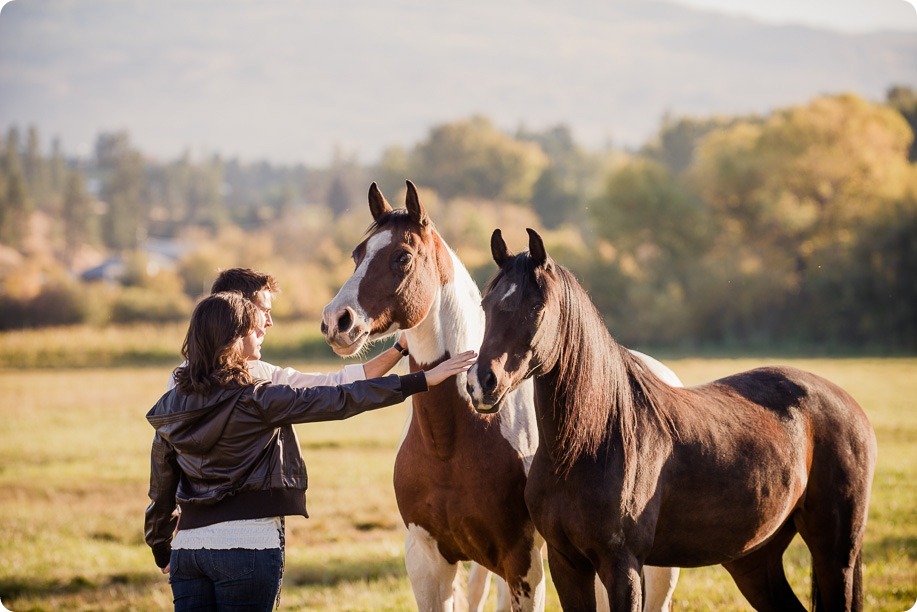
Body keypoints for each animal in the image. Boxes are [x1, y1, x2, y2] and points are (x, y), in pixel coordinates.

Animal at [322, 183, 680, 612]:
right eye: (357, 255)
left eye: (402, 256)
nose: (336, 320)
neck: (450, 440)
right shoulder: (428, 561)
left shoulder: (523, 561)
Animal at [468, 230, 876, 612]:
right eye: (486, 305)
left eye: (536, 306)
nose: (481, 383)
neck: (589, 442)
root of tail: (849, 407)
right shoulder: (566, 563)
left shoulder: (623, 566)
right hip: (755, 560)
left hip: (835, 556)